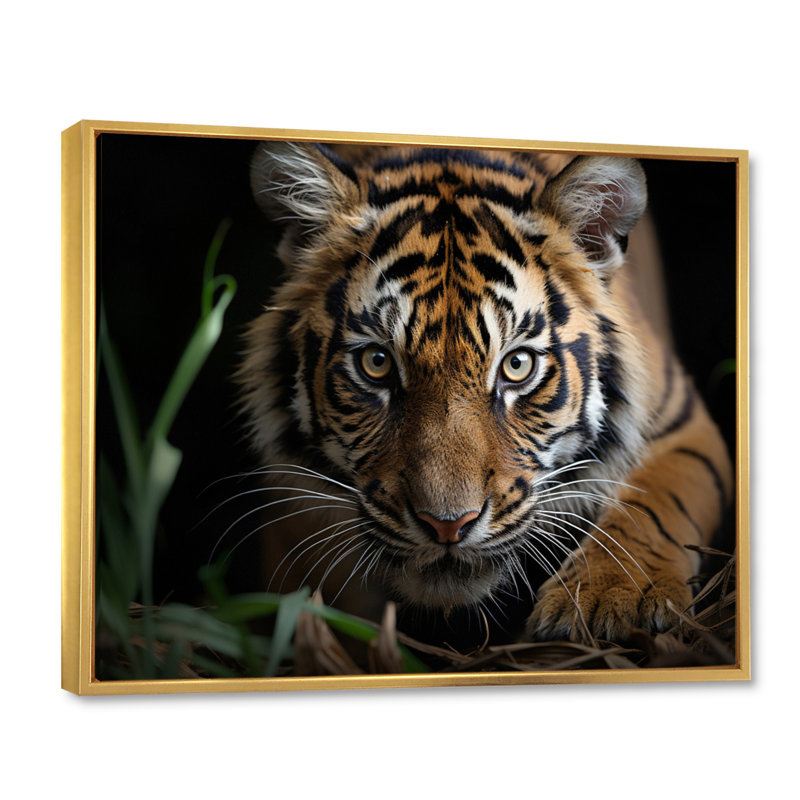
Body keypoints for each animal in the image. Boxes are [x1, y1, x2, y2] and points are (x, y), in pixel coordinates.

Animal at [237, 141, 732, 649]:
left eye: (517, 365)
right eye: (376, 363)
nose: (447, 525)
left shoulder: (680, 422)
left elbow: (651, 505)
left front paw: (611, 598)